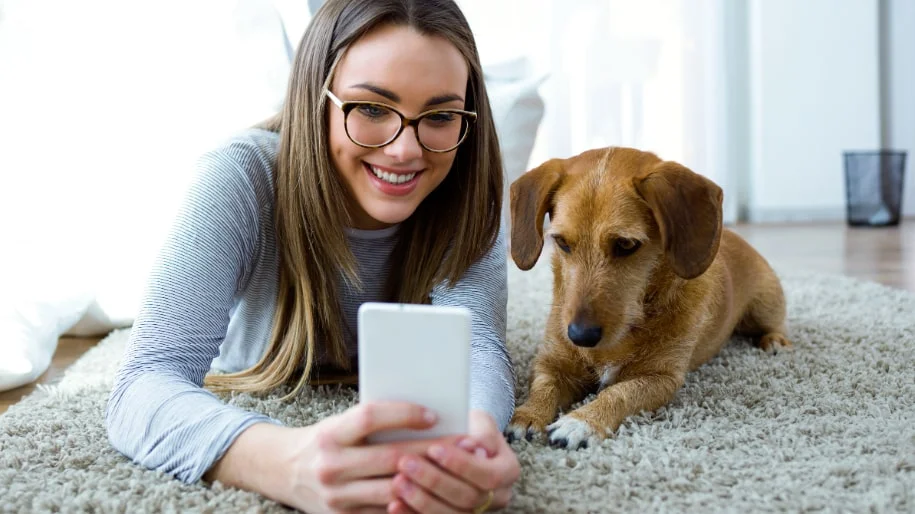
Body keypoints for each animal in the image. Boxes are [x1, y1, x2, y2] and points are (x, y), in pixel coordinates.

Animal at [504, 146, 792, 446]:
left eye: (626, 244)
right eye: (561, 242)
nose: (580, 336)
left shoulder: (660, 379)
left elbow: (618, 393)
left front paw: (582, 421)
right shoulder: (552, 364)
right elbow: (543, 387)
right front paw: (527, 415)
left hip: (764, 307)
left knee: (776, 324)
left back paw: (775, 341)